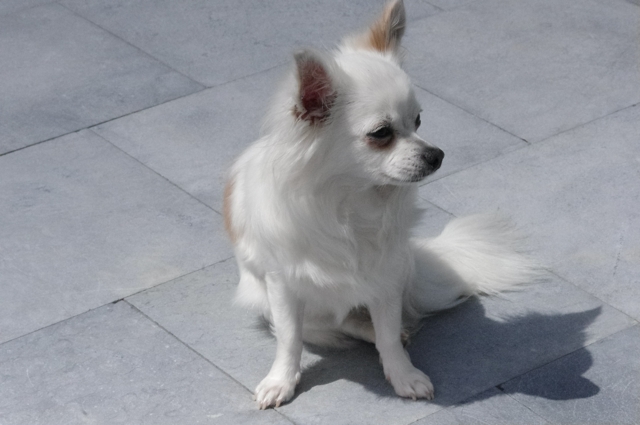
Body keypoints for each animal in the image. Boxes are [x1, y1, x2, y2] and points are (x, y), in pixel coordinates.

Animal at [223, 0, 538, 409]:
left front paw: (403, 374)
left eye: (418, 121)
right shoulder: (283, 286)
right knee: (335, 324)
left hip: (403, 268)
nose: (436, 154)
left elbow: (387, 331)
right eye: (381, 134)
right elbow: (289, 340)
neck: (351, 200)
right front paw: (282, 381)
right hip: (273, 300)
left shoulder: (385, 276)